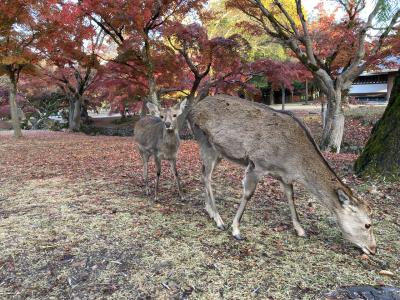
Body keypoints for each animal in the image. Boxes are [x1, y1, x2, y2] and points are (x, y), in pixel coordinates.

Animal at [189, 95, 376, 254]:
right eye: (367, 224)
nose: (374, 249)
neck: (294, 162)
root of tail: (193, 109)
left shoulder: (285, 176)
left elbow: (290, 197)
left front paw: (301, 230)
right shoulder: (257, 164)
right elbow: (248, 194)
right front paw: (236, 230)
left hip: (219, 153)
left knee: (203, 173)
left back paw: (209, 210)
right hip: (206, 142)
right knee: (207, 177)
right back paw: (219, 219)